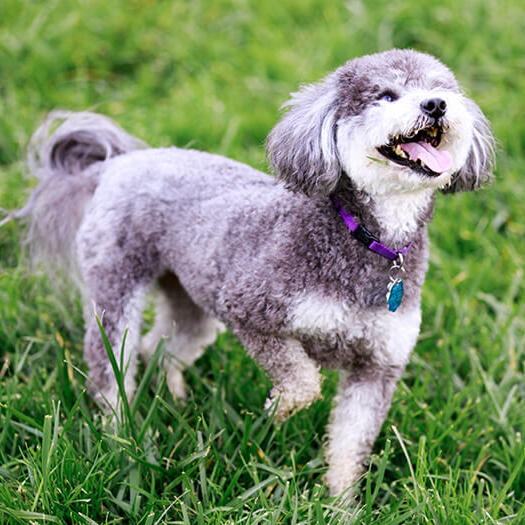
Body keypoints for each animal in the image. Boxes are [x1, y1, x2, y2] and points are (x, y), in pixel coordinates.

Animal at [13, 49, 496, 496]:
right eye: (386, 95)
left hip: (192, 298)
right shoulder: (250, 311)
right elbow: (303, 382)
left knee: (163, 346)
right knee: (111, 366)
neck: (366, 239)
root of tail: (116, 163)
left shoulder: (377, 367)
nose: (436, 105)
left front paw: (339, 505)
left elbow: (349, 446)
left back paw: (175, 399)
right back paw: (119, 433)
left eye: (443, 89)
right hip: (116, 288)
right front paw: (275, 413)